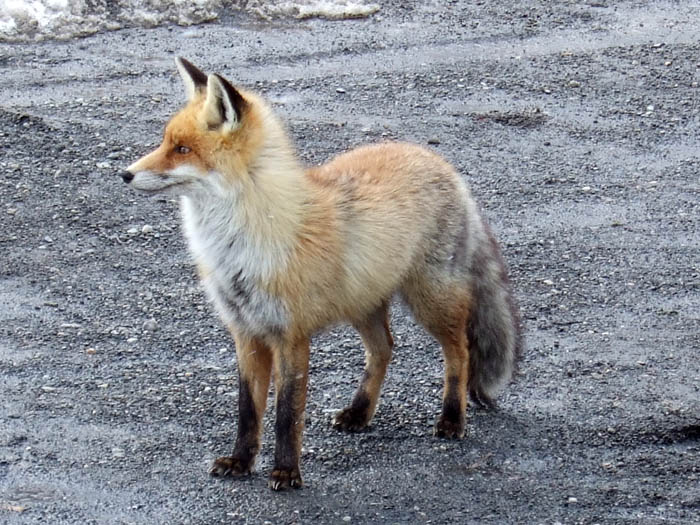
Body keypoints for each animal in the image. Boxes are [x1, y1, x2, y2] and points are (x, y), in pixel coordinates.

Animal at [123, 59, 524, 490]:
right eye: (165, 141)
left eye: (182, 149)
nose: (125, 174)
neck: (240, 244)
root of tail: (439, 162)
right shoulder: (245, 333)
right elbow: (248, 411)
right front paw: (241, 461)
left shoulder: (290, 336)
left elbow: (286, 414)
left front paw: (286, 472)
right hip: (362, 303)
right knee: (384, 349)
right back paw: (360, 413)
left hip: (430, 300)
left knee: (459, 352)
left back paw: (452, 417)